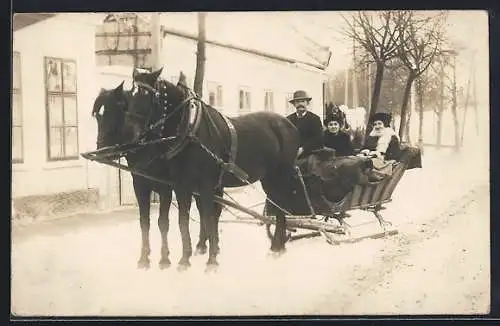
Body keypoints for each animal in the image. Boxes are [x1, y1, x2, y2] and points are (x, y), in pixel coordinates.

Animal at [94, 67, 298, 272]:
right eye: (97, 114)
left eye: (146, 95)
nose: (101, 149)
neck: (189, 130)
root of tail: (287, 124)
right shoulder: (177, 185)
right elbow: (180, 220)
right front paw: (183, 259)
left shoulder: (195, 185)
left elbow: (204, 216)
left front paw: (210, 261)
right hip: (267, 178)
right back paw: (276, 245)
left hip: (279, 175)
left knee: (279, 206)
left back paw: (277, 247)